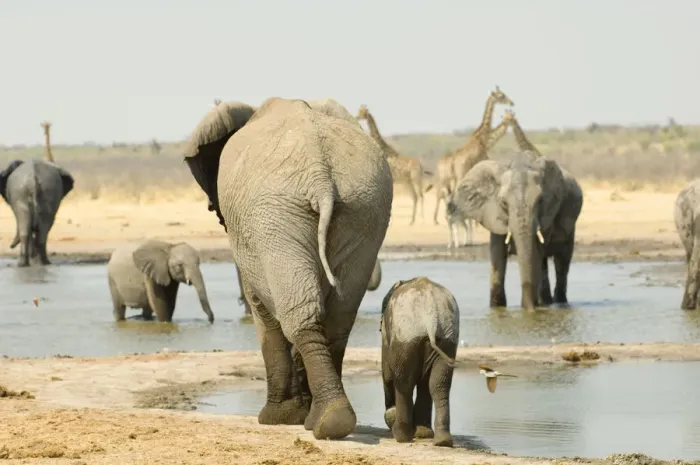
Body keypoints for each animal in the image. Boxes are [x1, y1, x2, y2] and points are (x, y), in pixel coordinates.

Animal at [182, 97, 393, 440]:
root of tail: (320, 175)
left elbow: (262, 313)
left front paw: (276, 418)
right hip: (363, 210)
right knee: (337, 318)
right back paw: (327, 420)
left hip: (276, 214)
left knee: (300, 314)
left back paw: (318, 421)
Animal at [380, 277, 459, 447]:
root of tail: (431, 316)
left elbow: (388, 375)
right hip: (447, 339)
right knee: (438, 384)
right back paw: (439, 439)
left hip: (405, 337)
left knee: (404, 382)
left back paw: (402, 436)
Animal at [450, 150, 583, 310]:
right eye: (503, 203)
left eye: (540, 201)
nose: (530, 308)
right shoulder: (494, 215)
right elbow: (498, 254)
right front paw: (497, 309)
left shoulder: (547, 213)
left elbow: (535, 252)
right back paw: (546, 302)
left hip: (570, 227)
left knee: (561, 262)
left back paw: (556, 303)